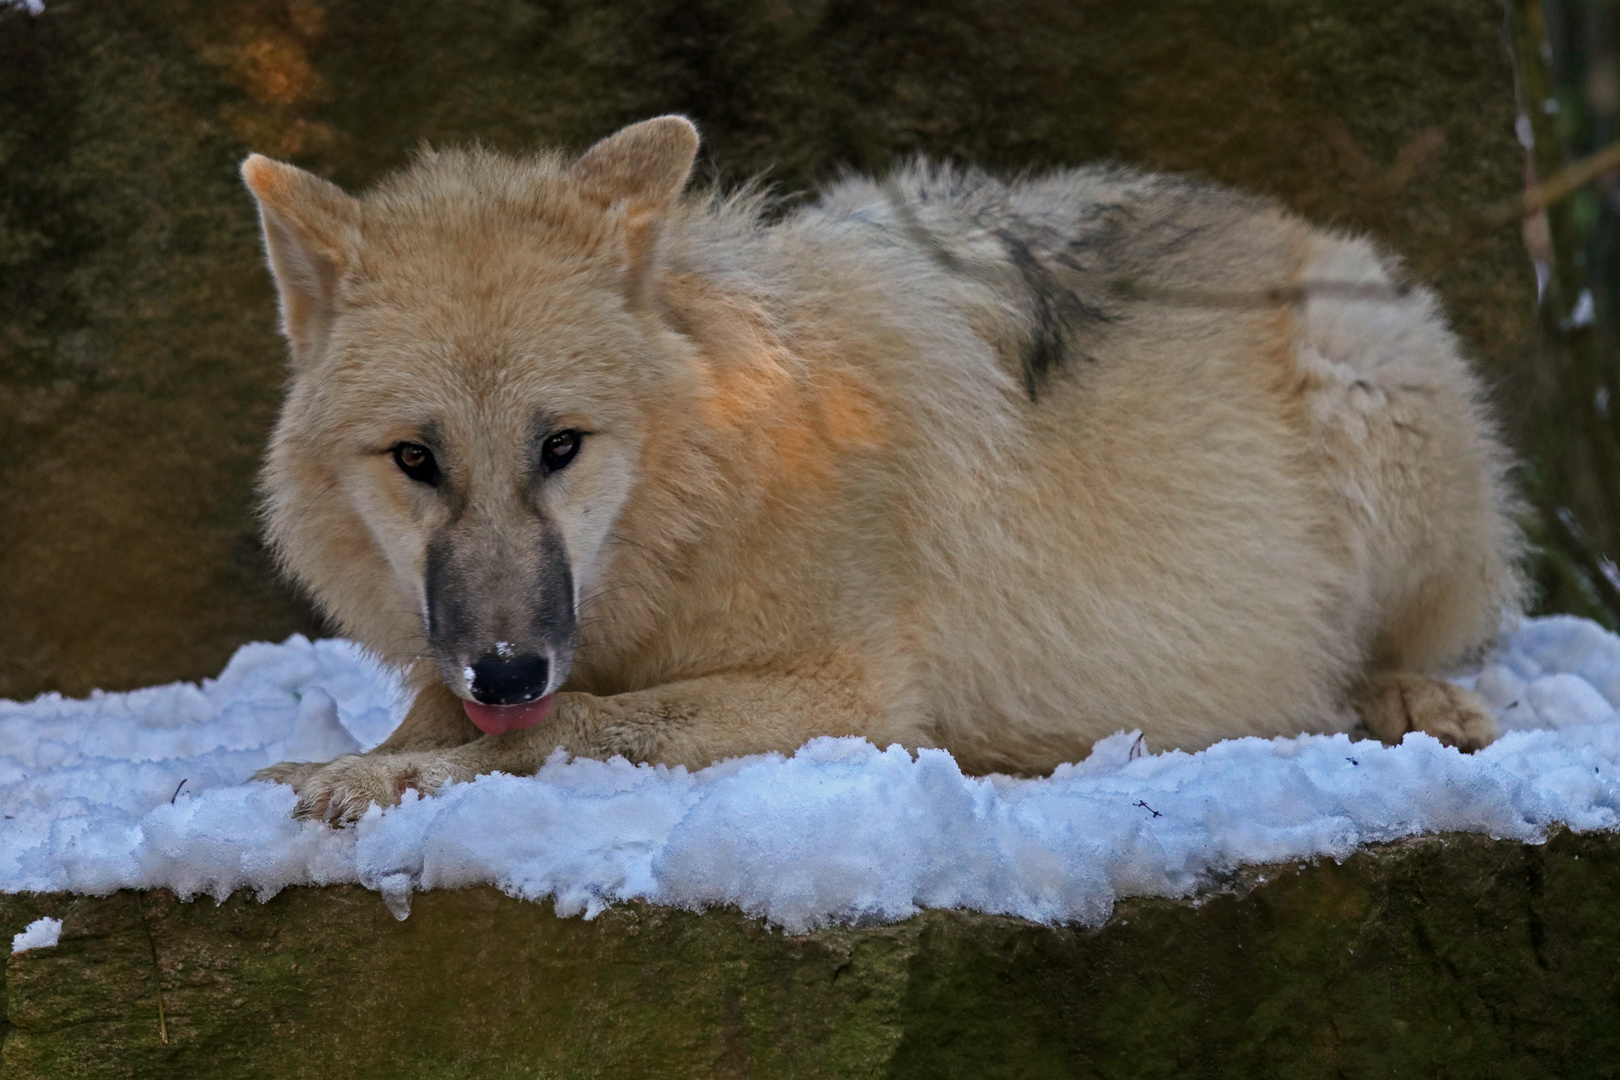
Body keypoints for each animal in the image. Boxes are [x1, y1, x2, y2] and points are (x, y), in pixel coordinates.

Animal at [239, 118, 1516, 822]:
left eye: (561, 448)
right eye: (417, 459)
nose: (505, 670)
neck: (717, 488)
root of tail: (1294, 222)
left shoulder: (849, 697)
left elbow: (571, 732)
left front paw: (368, 786)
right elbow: (438, 718)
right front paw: (333, 767)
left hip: (1367, 380)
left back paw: (1411, 700)